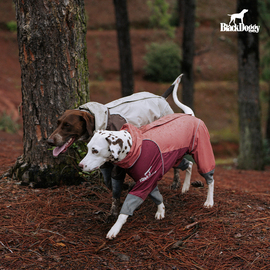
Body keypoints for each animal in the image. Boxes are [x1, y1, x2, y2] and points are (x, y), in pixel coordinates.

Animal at [78, 113, 215, 239]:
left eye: (95, 150)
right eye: (88, 148)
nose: (80, 165)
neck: (133, 147)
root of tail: (190, 115)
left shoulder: (145, 181)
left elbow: (126, 210)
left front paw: (115, 228)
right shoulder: (144, 180)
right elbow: (155, 196)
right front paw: (161, 210)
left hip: (202, 154)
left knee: (210, 179)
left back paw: (209, 201)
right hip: (176, 159)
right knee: (189, 165)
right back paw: (186, 186)